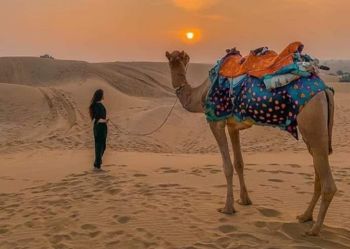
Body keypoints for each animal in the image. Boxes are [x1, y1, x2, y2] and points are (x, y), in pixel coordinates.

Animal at [166, 50, 336, 235]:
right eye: (172, 59)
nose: (174, 59)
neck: (200, 94)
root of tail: (325, 91)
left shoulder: (216, 121)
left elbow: (227, 166)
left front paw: (227, 208)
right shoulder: (232, 126)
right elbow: (239, 163)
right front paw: (244, 200)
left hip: (312, 119)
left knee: (328, 184)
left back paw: (314, 230)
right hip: (315, 133)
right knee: (318, 173)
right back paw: (305, 216)